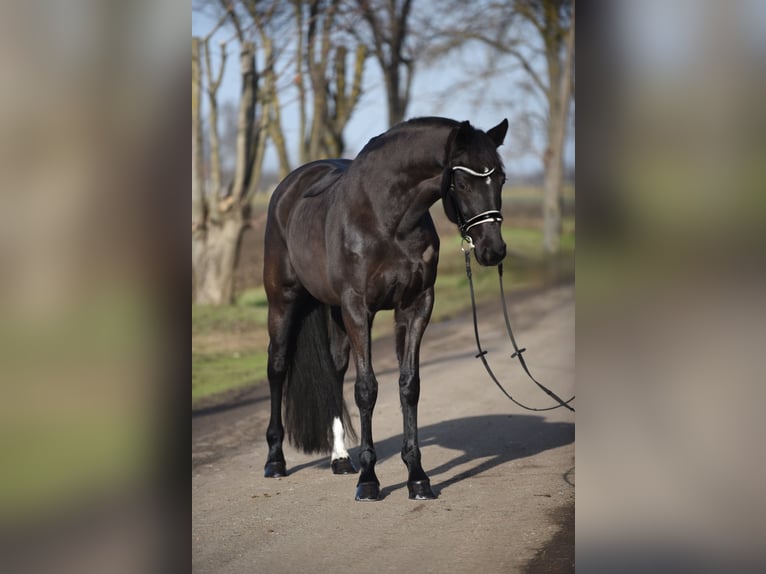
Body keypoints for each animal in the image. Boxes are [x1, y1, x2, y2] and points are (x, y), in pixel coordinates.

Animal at [264, 118, 510, 504]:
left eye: (501, 179)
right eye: (462, 182)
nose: (493, 250)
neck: (387, 218)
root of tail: (289, 187)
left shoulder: (416, 305)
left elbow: (409, 385)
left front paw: (417, 477)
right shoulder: (358, 308)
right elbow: (366, 389)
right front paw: (369, 481)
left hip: (334, 311)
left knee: (335, 369)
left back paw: (339, 457)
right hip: (283, 300)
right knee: (277, 366)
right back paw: (275, 459)